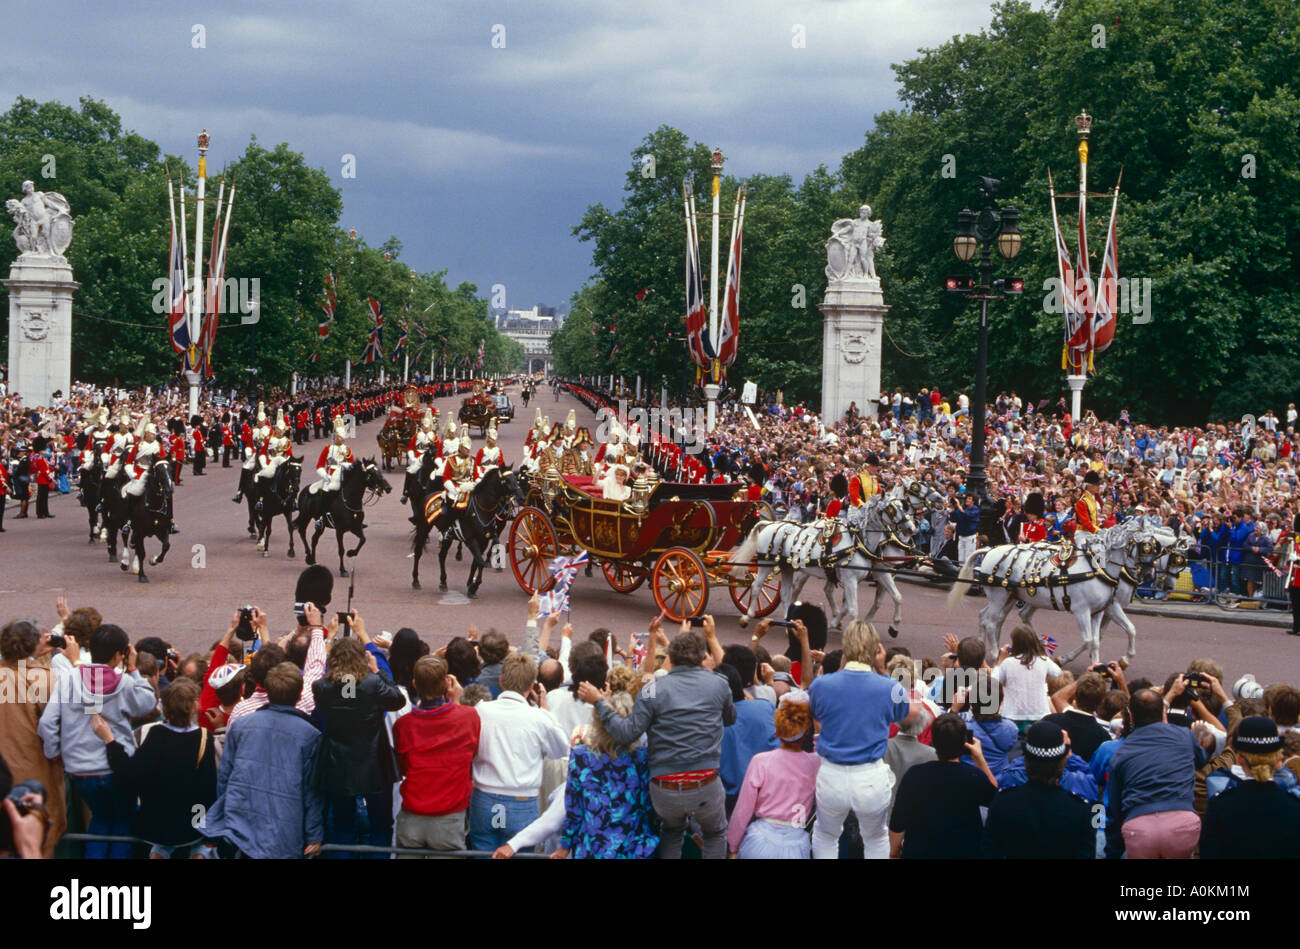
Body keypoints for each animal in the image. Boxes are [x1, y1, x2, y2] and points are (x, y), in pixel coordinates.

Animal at [413, 462, 520, 595]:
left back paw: (443, 582)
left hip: (447, 536)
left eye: (515, 478)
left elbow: (477, 562)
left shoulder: (484, 540)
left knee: (442, 556)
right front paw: (474, 587)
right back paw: (416, 581)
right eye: (506, 480)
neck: (483, 509)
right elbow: (480, 561)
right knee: (418, 552)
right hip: (424, 528)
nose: (519, 494)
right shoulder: (471, 540)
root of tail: (427, 496)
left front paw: (471, 584)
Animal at [728, 488, 920, 629]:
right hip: (766, 563)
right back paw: (748, 616)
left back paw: (789, 621)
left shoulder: (877, 573)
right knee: (756, 586)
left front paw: (894, 626)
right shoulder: (851, 579)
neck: (860, 541)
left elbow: (895, 597)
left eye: (904, 506)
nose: (911, 529)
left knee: (786, 592)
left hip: (787, 566)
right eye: (891, 508)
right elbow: (853, 609)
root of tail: (769, 523)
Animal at [946, 517, 1159, 665]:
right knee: (991, 621)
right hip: (999, 596)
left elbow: (1102, 638)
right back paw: (993, 654)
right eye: (1146, 546)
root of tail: (990, 549)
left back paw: (987, 648)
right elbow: (1089, 640)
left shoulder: (1100, 611)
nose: (1149, 574)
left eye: (1157, 546)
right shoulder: (1081, 610)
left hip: (1009, 596)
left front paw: (1100, 665)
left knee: (990, 618)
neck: (1097, 568)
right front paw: (1065, 660)